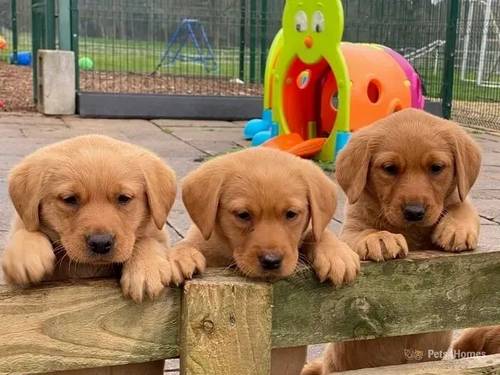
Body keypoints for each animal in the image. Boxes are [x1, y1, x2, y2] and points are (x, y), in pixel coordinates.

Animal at [168, 148, 360, 374]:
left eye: (291, 214)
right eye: (243, 215)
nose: (271, 261)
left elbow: (316, 233)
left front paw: (336, 253)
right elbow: (188, 243)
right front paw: (179, 256)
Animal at [302, 107, 482, 374]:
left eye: (437, 167)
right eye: (389, 168)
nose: (415, 212)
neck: (410, 232)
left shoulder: (456, 201)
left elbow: (463, 205)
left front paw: (456, 228)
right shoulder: (351, 228)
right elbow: (361, 233)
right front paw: (380, 238)